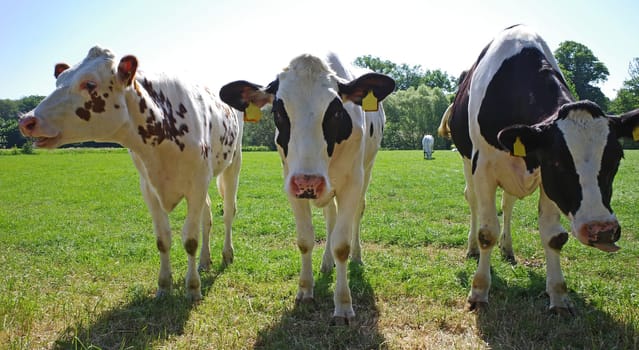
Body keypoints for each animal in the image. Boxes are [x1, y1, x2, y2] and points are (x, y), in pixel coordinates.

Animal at [19, 45, 245, 300]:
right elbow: (163, 239)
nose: (27, 120)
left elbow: (190, 240)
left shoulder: (196, 184)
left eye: (89, 83)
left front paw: (193, 288)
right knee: (208, 216)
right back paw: (205, 261)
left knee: (228, 212)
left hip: (233, 163)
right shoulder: (149, 188)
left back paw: (227, 254)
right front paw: (164, 286)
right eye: (58, 80)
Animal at [219, 52, 396, 322]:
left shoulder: (352, 183)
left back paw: (356, 256)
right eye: (278, 112)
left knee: (357, 214)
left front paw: (343, 304)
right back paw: (326, 262)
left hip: (366, 171)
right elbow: (305, 240)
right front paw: (305, 291)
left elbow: (341, 245)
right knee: (331, 217)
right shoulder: (292, 184)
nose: (308, 181)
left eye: (335, 112)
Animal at [438, 26, 639, 314]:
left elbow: (553, 237)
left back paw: (508, 249)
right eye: (558, 162)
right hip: (467, 161)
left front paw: (558, 296)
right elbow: (487, 232)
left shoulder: (547, 183)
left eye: (617, 158)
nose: (602, 231)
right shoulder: (484, 167)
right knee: (473, 202)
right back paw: (473, 249)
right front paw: (479, 291)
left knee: (507, 205)